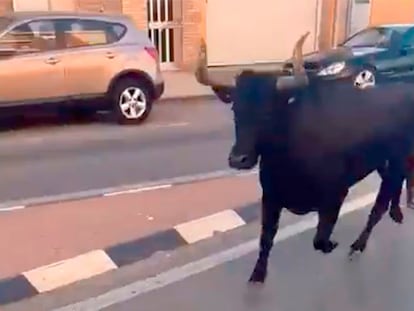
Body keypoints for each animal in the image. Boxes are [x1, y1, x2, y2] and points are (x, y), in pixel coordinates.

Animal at [226, 72, 414, 282]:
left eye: (267, 111)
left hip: (398, 157)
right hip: (384, 162)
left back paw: (358, 246)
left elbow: (320, 238)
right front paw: (257, 274)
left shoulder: (336, 193)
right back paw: (396, 213)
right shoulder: (270, 196)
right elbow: (266, 238)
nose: (238, 159)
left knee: (380, 205)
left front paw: (332, 245)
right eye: (235, 109)